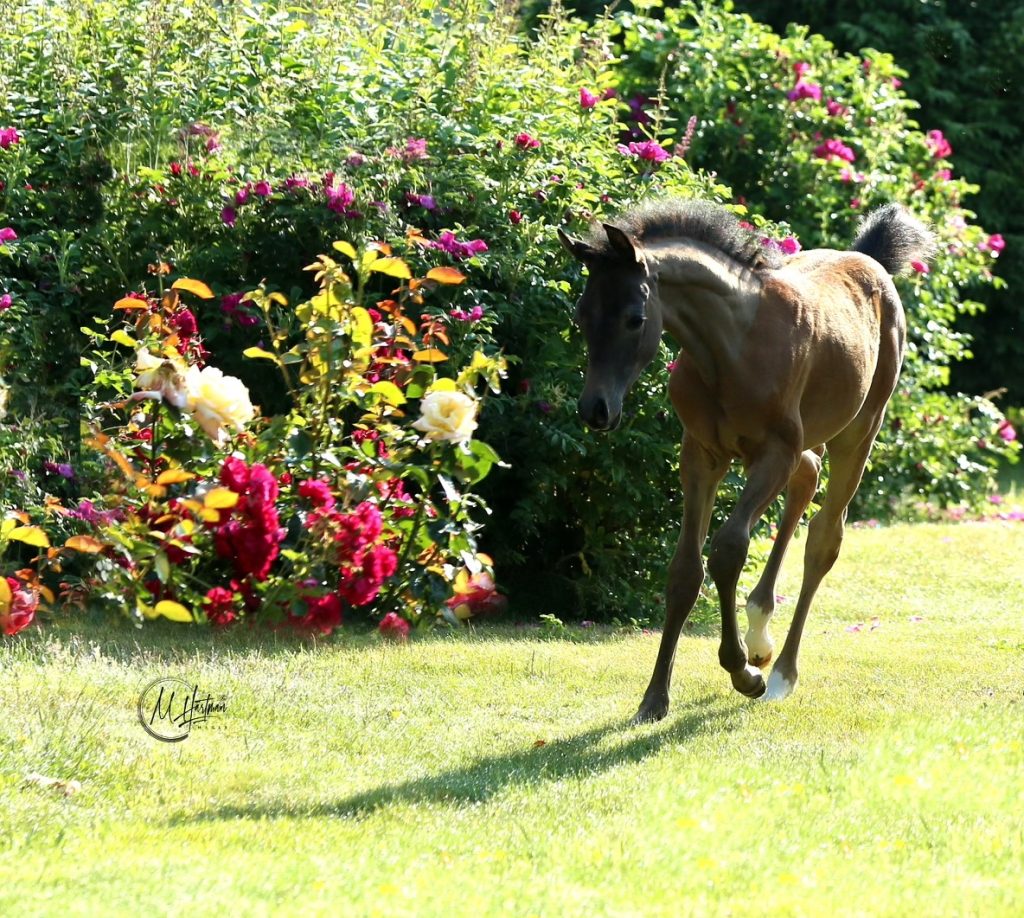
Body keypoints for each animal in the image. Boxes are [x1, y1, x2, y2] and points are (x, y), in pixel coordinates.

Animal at [558, 199, 933, 724]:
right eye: (581, 314)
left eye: (634, 318)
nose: (596, 409)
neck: (729, 349)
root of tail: (868, 258)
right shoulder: (700, 455)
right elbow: (684, 570)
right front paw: (654, 699)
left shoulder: (773, 454)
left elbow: (728, 548)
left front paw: (743, 673)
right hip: (805, 443)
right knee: (806, 479)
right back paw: (760, 634)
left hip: (858, 433)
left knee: (824, 538)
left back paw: (781, 673)